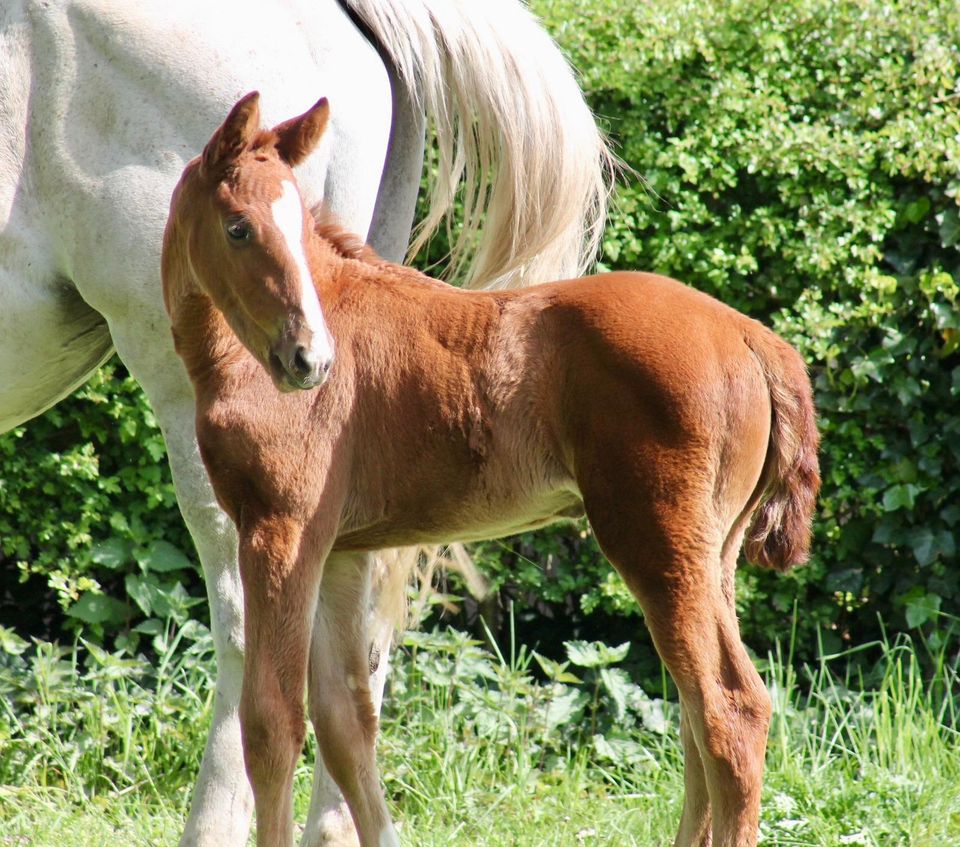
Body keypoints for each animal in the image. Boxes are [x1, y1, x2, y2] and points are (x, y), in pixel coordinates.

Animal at [163, 94, 816, 847]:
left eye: (299, 224)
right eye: (239, 228)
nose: (310, 359)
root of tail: (752, 336)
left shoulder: (280, 531)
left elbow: (273, 723)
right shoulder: (341, 550)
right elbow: (348, 724)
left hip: (656, 540)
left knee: (728, 709)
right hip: (716, 551)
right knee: (695, 718)